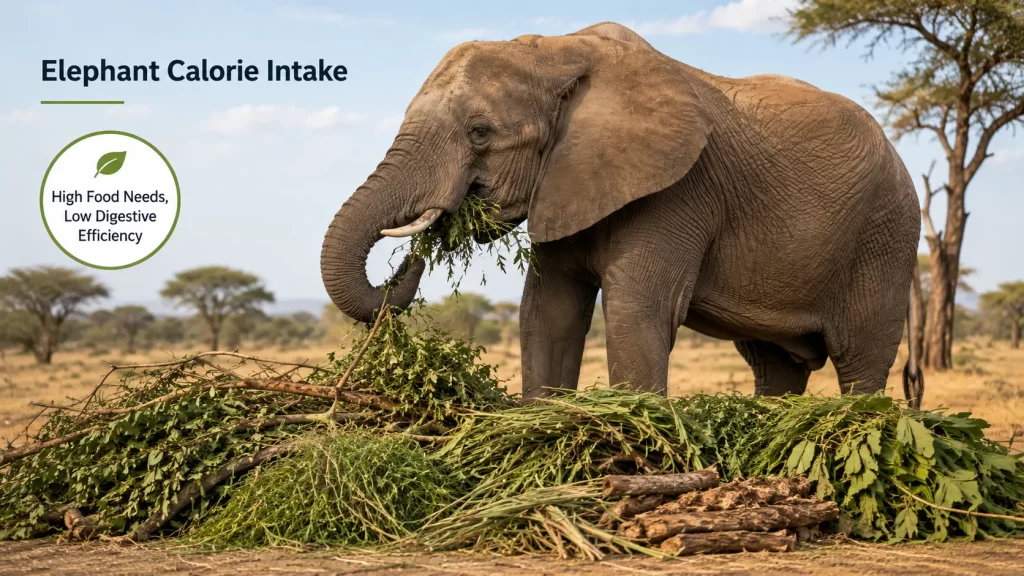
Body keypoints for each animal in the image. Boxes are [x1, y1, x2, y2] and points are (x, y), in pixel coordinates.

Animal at [321, 22, 924, 406]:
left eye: (479, 132)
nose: (413, 259)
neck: (555, 52)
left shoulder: (679, 189)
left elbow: (639, 306)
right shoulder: (566, 181)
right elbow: (549, 310)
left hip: (887, 234)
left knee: (861, 357)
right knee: (775, 363)